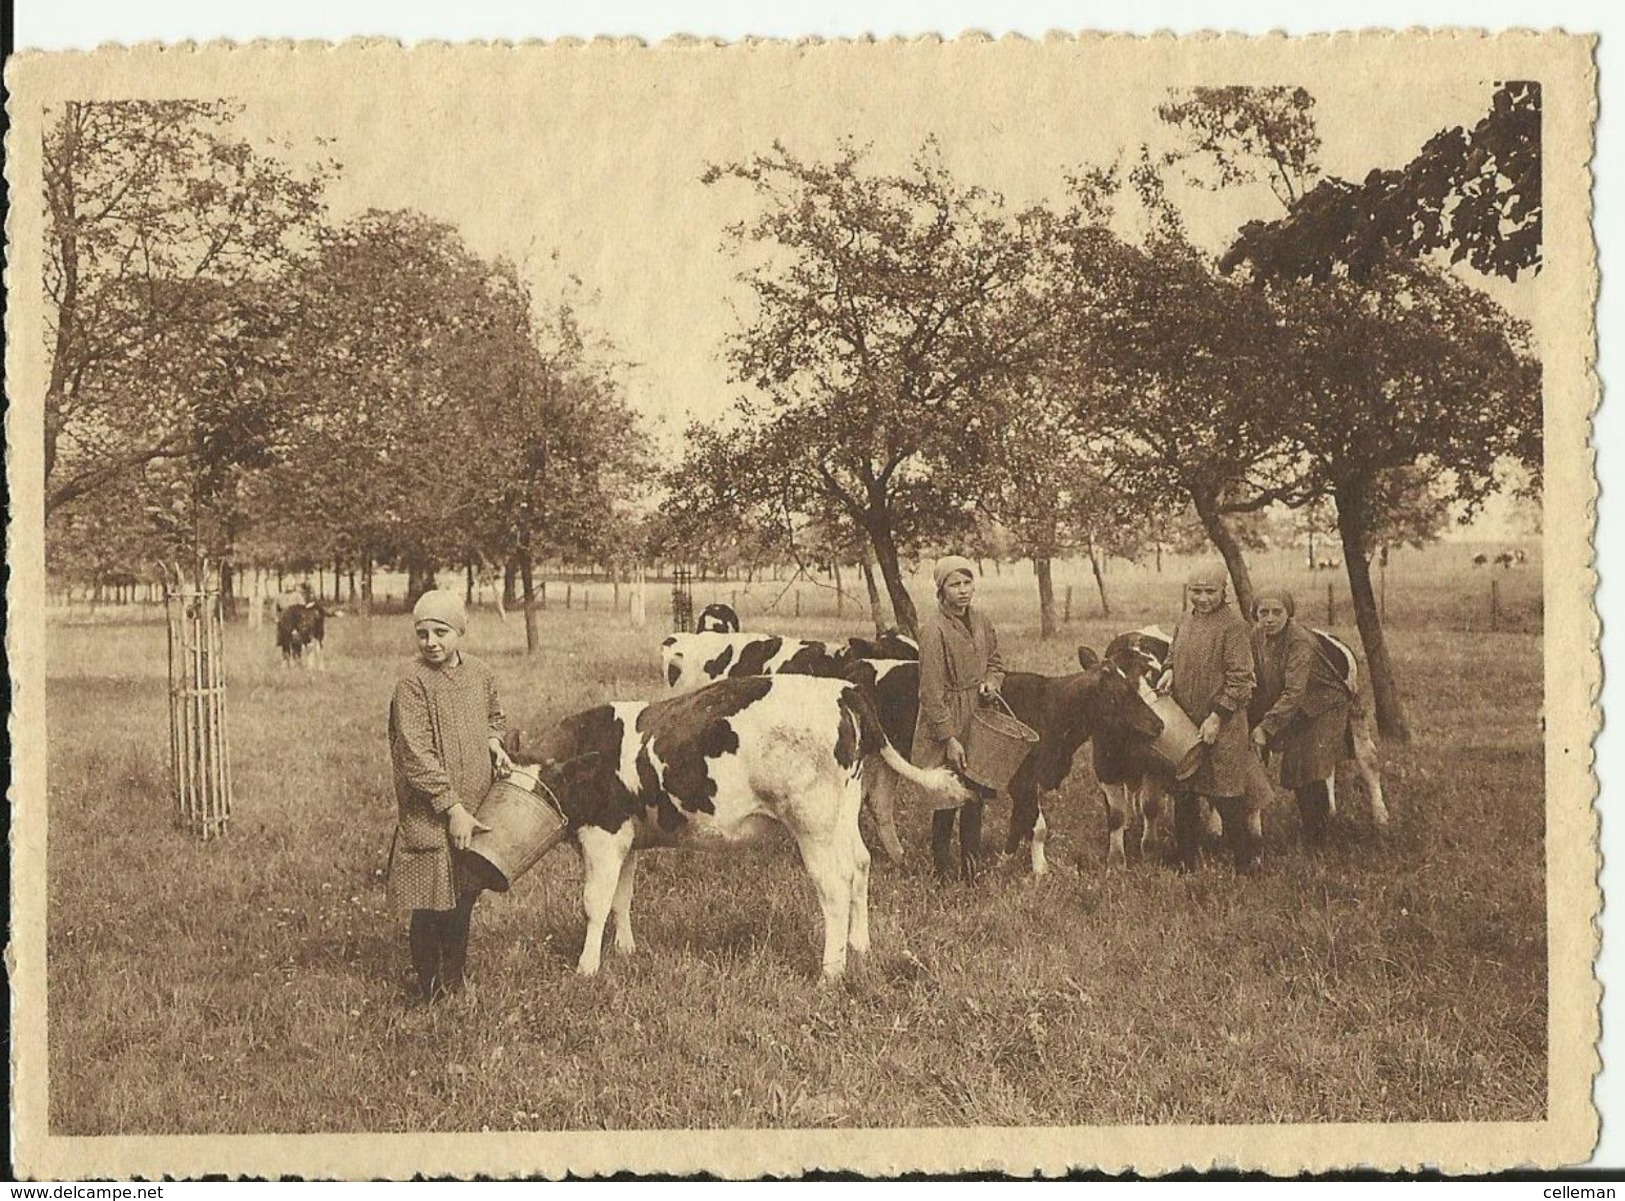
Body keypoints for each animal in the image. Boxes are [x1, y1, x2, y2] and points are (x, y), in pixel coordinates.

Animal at [507, 676, 968, 975]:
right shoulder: (628, 840)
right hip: (844, 813)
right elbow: (623, 897)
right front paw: (626, 951)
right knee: (860, 864)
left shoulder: (603, 836)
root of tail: (843, 690)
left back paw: (831, 970)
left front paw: (587, 968)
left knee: (834, 885)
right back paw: (860, 946)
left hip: (812, 823)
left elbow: (596, 902)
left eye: (540, 789)